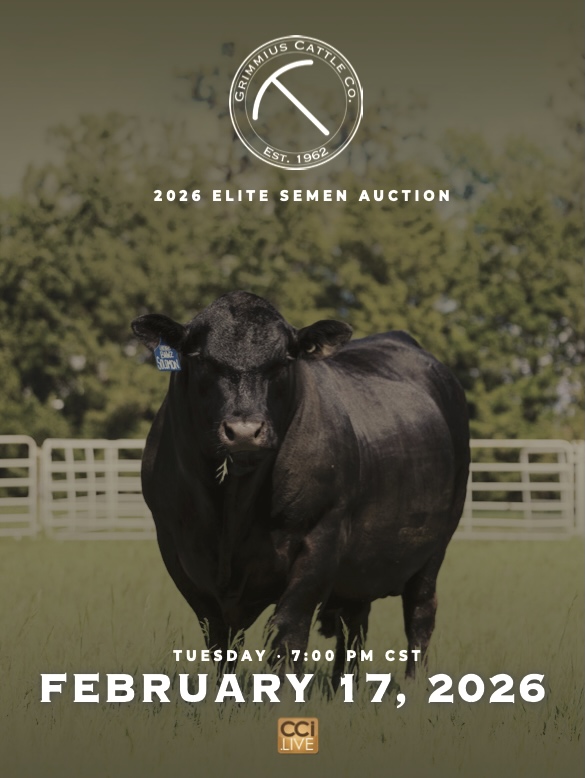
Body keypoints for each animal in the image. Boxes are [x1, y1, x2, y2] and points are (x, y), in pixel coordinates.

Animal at [131, 290, 470, 684]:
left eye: (285, 360)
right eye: (200, 357)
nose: (244, 431)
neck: (232, 505)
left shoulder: (320, 536)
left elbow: (287, 630)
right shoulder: (176, 548)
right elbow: (219, 639)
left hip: (434, 548)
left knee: (419, 614)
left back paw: (413, 684)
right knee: (354, 624)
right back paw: (342, 685)